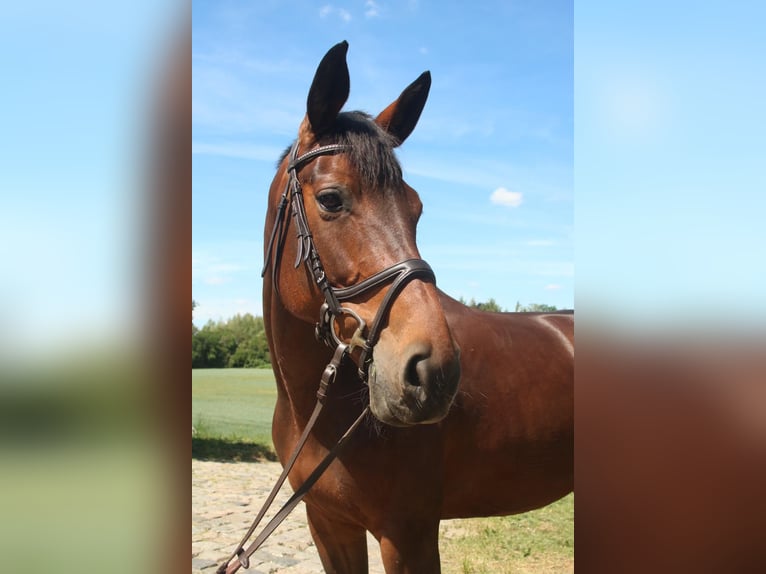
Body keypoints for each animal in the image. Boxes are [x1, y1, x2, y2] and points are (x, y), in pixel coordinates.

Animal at [261, 41, 573, 573]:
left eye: (417, 208)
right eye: (331, 199)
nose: (434, 372)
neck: (318, 418)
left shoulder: (408, 534)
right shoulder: (329, 527)